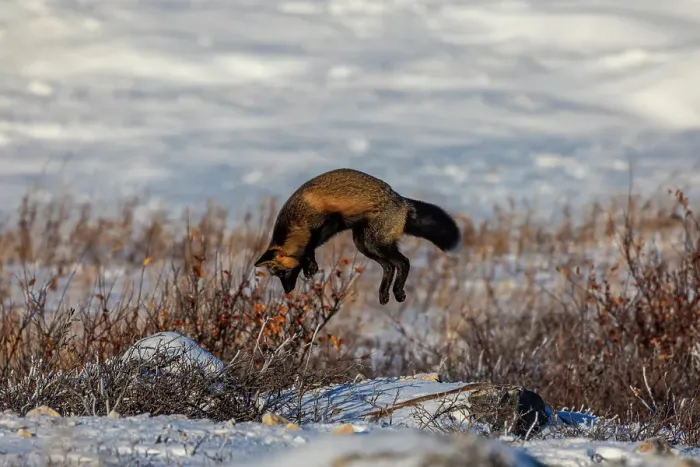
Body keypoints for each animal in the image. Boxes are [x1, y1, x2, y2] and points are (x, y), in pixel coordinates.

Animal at [254, 168, 462, 305]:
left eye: (282, 273)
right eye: (277, 276)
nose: (287, 291)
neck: (298, 220)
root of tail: (402, 202)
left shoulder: (330, 222)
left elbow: (310, 246)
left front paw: (310, 266)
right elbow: (308, 250)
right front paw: (309, 266)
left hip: (374, 242)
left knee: (403, 262)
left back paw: (398, 292)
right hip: (363, 244)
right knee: (389, 267)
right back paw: (384, 295)